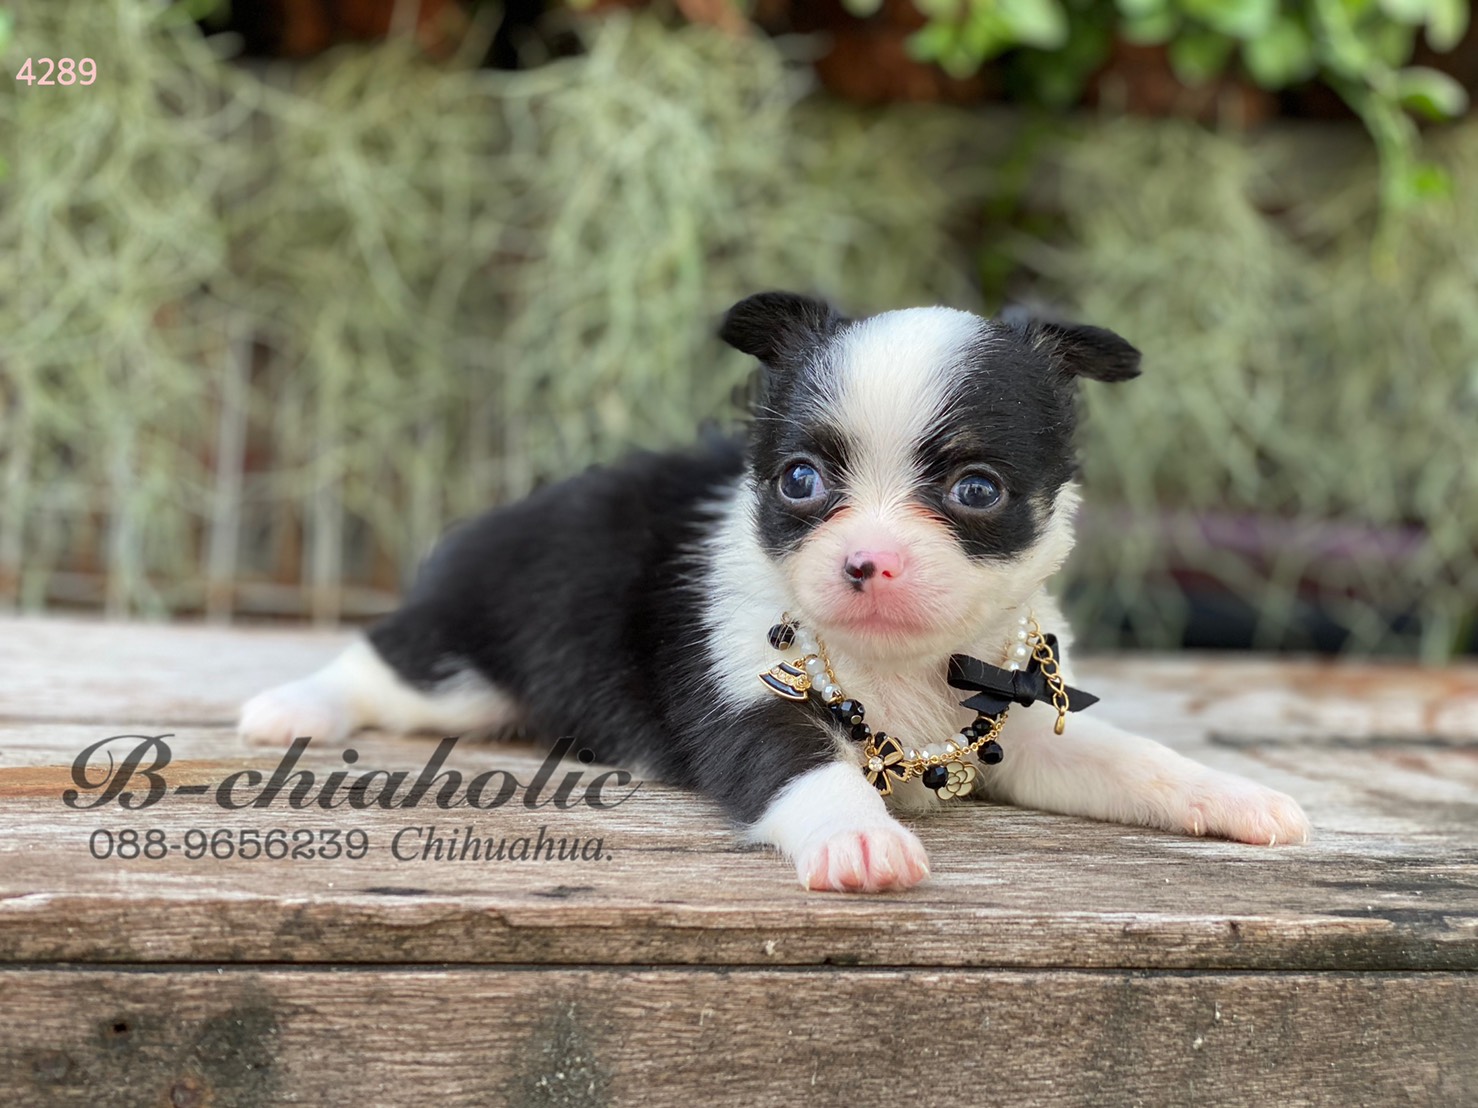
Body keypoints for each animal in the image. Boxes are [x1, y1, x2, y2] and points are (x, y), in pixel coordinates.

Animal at [239, 291, 1311, 892]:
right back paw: (290, 708)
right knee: (384, 667)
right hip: (468, 659)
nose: (864, 562)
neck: (896, 663)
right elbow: (808, 772)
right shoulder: (750, 705)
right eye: (799, 481)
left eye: (976, 492)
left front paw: (1235, 796)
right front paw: (860, 839)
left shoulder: (1014, 723)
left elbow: (1133, 758)